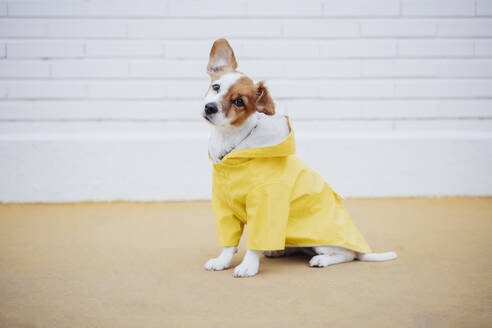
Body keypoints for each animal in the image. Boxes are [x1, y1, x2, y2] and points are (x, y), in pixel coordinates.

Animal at [200, 39, 396, 278]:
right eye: (216, 87)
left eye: (239, 101)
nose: (210, 107)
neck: (231, 144)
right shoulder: (224, 206)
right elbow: (229, 244)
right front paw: (222, 261)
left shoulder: (266, 205)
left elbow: (256, 242)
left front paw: (248, 266)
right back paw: (279, 251)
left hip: (325, 242)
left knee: (347, 256)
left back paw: (322, 259)